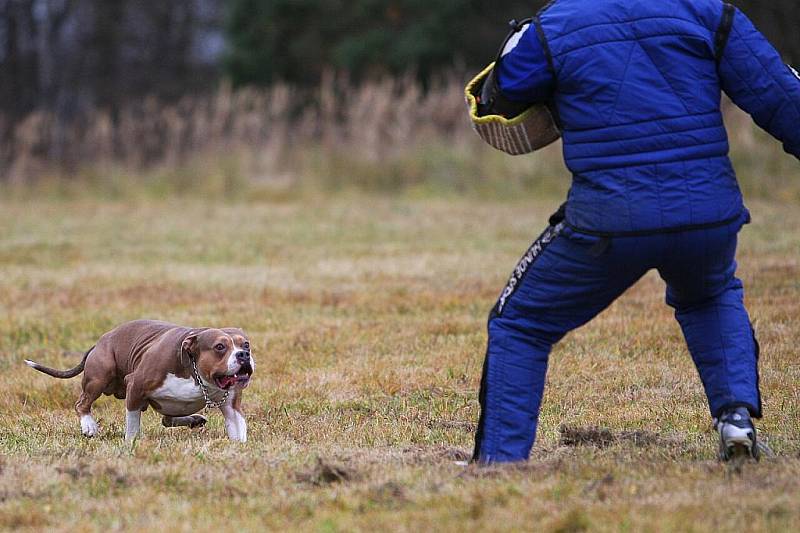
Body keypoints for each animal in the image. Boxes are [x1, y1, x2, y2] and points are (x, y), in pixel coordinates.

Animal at [23, 320, 253, 440]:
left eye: (246, 344)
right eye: (220, 347)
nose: (244, 355)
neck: (196, 374)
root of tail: (100, 341)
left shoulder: (232, 405)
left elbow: (238, 426)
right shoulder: (136, 385)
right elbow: (132, 424)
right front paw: (130, 443)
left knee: (167, 419)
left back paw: (194, 419)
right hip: (100, 374)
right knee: (82, 403)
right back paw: (88, 426)